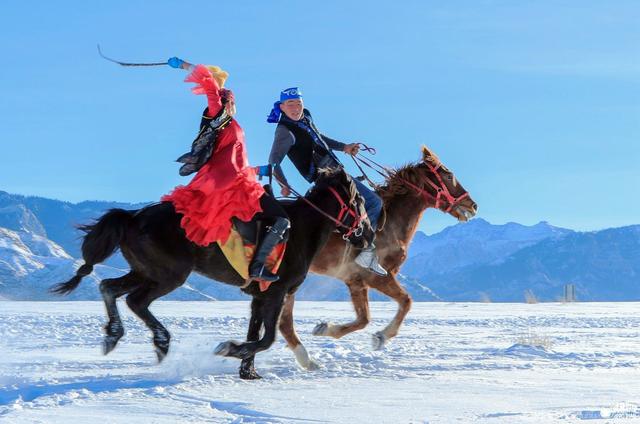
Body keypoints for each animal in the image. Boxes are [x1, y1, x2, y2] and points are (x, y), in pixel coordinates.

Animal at [52, 168, 368, 378]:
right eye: (360, 203)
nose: (365, 236)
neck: (303, 228)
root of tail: (132, 217)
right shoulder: (277, 292)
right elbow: (267, 338)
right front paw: (230, 349)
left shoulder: (259, 295)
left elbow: (255, 331)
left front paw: (247, 370)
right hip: (169, 274)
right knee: (135, 301)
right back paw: (161, 342)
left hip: (144, 270)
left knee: (109, 287)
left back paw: (113, 336)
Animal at [250, 146, 476, 372]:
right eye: (449, 175)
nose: (473, 206)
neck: (390, 224)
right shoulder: (377, 276)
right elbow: (406, 301)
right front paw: (381, 337)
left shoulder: (356, 282)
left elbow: (363, 319)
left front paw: (325, 328)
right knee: (284, 321)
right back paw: (307, 360)